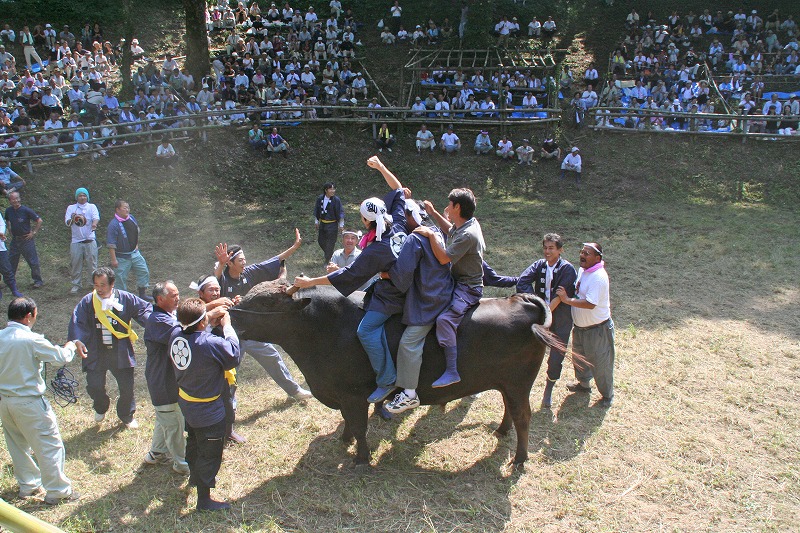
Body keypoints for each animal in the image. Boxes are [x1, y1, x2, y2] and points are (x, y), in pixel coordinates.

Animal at [228, 278, 564, 466]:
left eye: (267, 302)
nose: (230, 314)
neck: (323, 327)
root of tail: (521, 300)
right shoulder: (343, 394)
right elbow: (348, 423)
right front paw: (344, 441)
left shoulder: (353, 394)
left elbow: (359, 426)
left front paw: (361, 459)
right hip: (506, 382)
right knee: (509, 409)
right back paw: (502, 432)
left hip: (519, 383)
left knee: (523, 416)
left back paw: (520, 459)